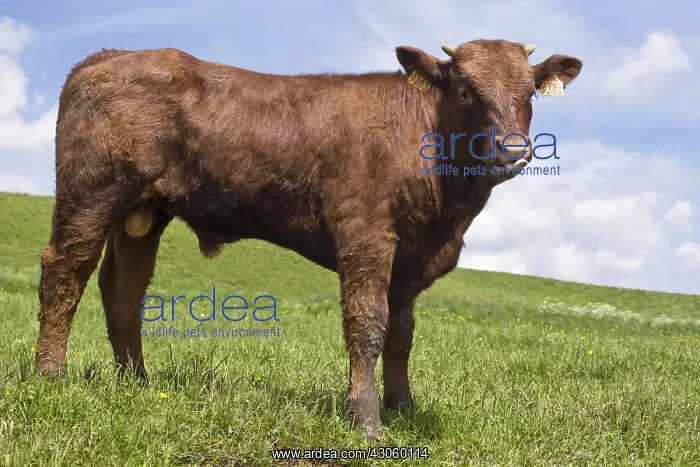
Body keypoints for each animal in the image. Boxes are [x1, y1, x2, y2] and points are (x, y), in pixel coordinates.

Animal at [35, 40, 582, 439]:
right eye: (467, 90)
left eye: (530, 93)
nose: (514, 150)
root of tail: (110, 55)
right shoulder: (365, 236)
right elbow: (368, 326)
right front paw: (366, 420)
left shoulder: (410, 262)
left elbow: (402, 337)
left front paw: (402, 406)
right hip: (91, 194)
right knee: (65, 271)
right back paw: (50, 374)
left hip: (144, 213)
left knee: (124, 291)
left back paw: (137, 383)